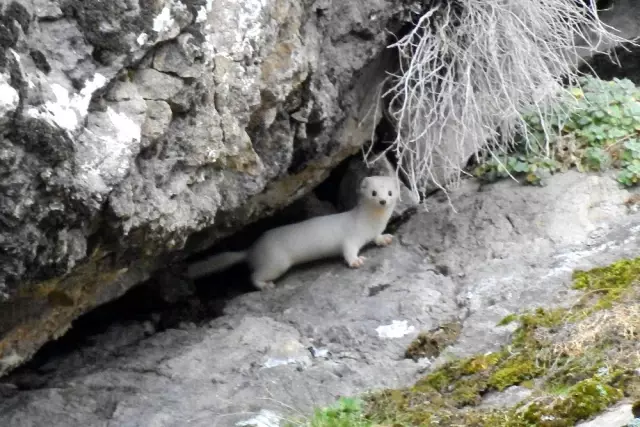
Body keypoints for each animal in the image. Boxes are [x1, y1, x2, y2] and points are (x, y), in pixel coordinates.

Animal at [184, 175, 400, 290]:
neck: (370, 223)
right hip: (276, 262)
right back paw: (265, 285)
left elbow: (377, 238)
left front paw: (385, 239)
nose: (383, 201)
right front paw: (356, 261)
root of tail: (252, 250)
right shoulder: (351, 237)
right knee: (253, 276)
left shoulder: (372, 232)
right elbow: (348, 250)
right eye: (373, 193)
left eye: (390, 193)